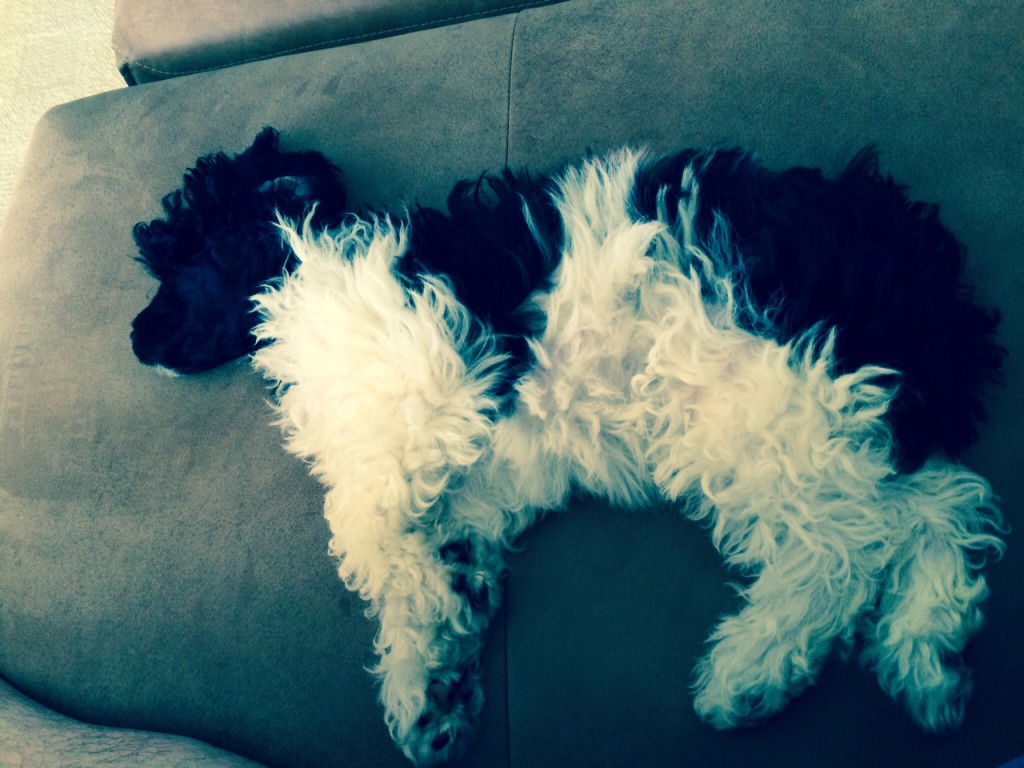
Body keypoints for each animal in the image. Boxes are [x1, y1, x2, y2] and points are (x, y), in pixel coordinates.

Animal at [131, 128, 1005, 765]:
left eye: (178, 261)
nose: (135, 341)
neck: (303, 270)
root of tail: (914, 265)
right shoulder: (476, 483)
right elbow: (422, 558)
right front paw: (434, 681)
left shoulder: (432, 387)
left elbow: (365, 527)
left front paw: (431, 629)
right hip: (837, 418)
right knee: (944, 505)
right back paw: (928, 656)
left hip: (754, 401)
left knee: (845, 549)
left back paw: (750, 672)